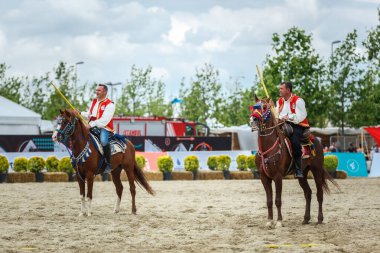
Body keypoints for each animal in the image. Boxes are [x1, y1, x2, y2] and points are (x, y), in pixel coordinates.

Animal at [251, 97, 336, 227]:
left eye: (264, 107)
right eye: (253, 107)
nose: (253, 120)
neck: (267, 149)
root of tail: (315, 140)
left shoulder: (278, 177)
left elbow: (277, 200)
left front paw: (279, 221)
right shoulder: (264, 177)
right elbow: (269, 201)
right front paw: (269, 221)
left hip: (316, 170)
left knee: (319, 194)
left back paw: (319, 219)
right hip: (302, 174)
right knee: (308, 193)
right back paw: (306, 219)